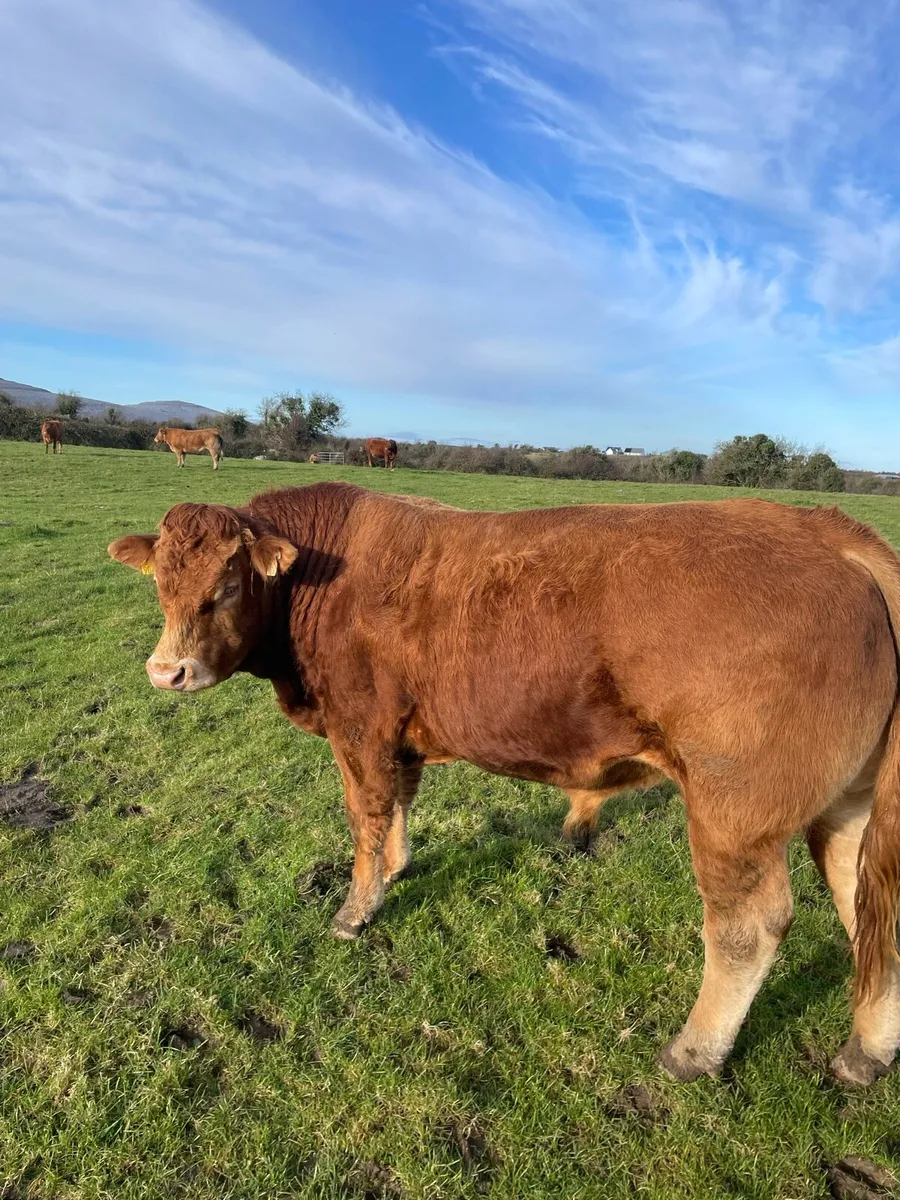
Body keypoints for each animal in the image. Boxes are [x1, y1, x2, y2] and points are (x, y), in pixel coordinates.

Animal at [108, 483, 900, 1086]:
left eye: (226, 588)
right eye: (160, 585)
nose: (166, 672)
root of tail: (830, 532)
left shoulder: (359, 730)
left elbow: (367, 815)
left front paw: (356, 910)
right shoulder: (400, 738)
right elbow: (399, 807)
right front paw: (396, 869)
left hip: (734, 812)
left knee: (747, 928)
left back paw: (693, 1052)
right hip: (846, 807)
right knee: (871, 908)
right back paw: (866, 1051)